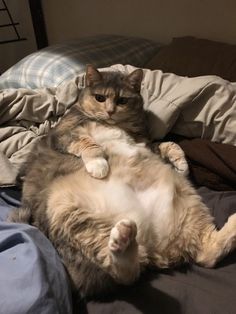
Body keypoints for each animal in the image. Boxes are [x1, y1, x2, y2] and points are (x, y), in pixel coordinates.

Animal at [9, 65, 236, 298]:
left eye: (122, 100)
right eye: (100, 98)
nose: (110, 111)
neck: (115, 124)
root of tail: (154, 248)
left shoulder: (145, 143)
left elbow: (169, 144)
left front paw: (181, 163)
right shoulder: (62, 135)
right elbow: (87, 143)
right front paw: (99, 165)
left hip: (189, 206)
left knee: (206, 254)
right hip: (70, 215)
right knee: (125, 274)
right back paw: (123, 239)